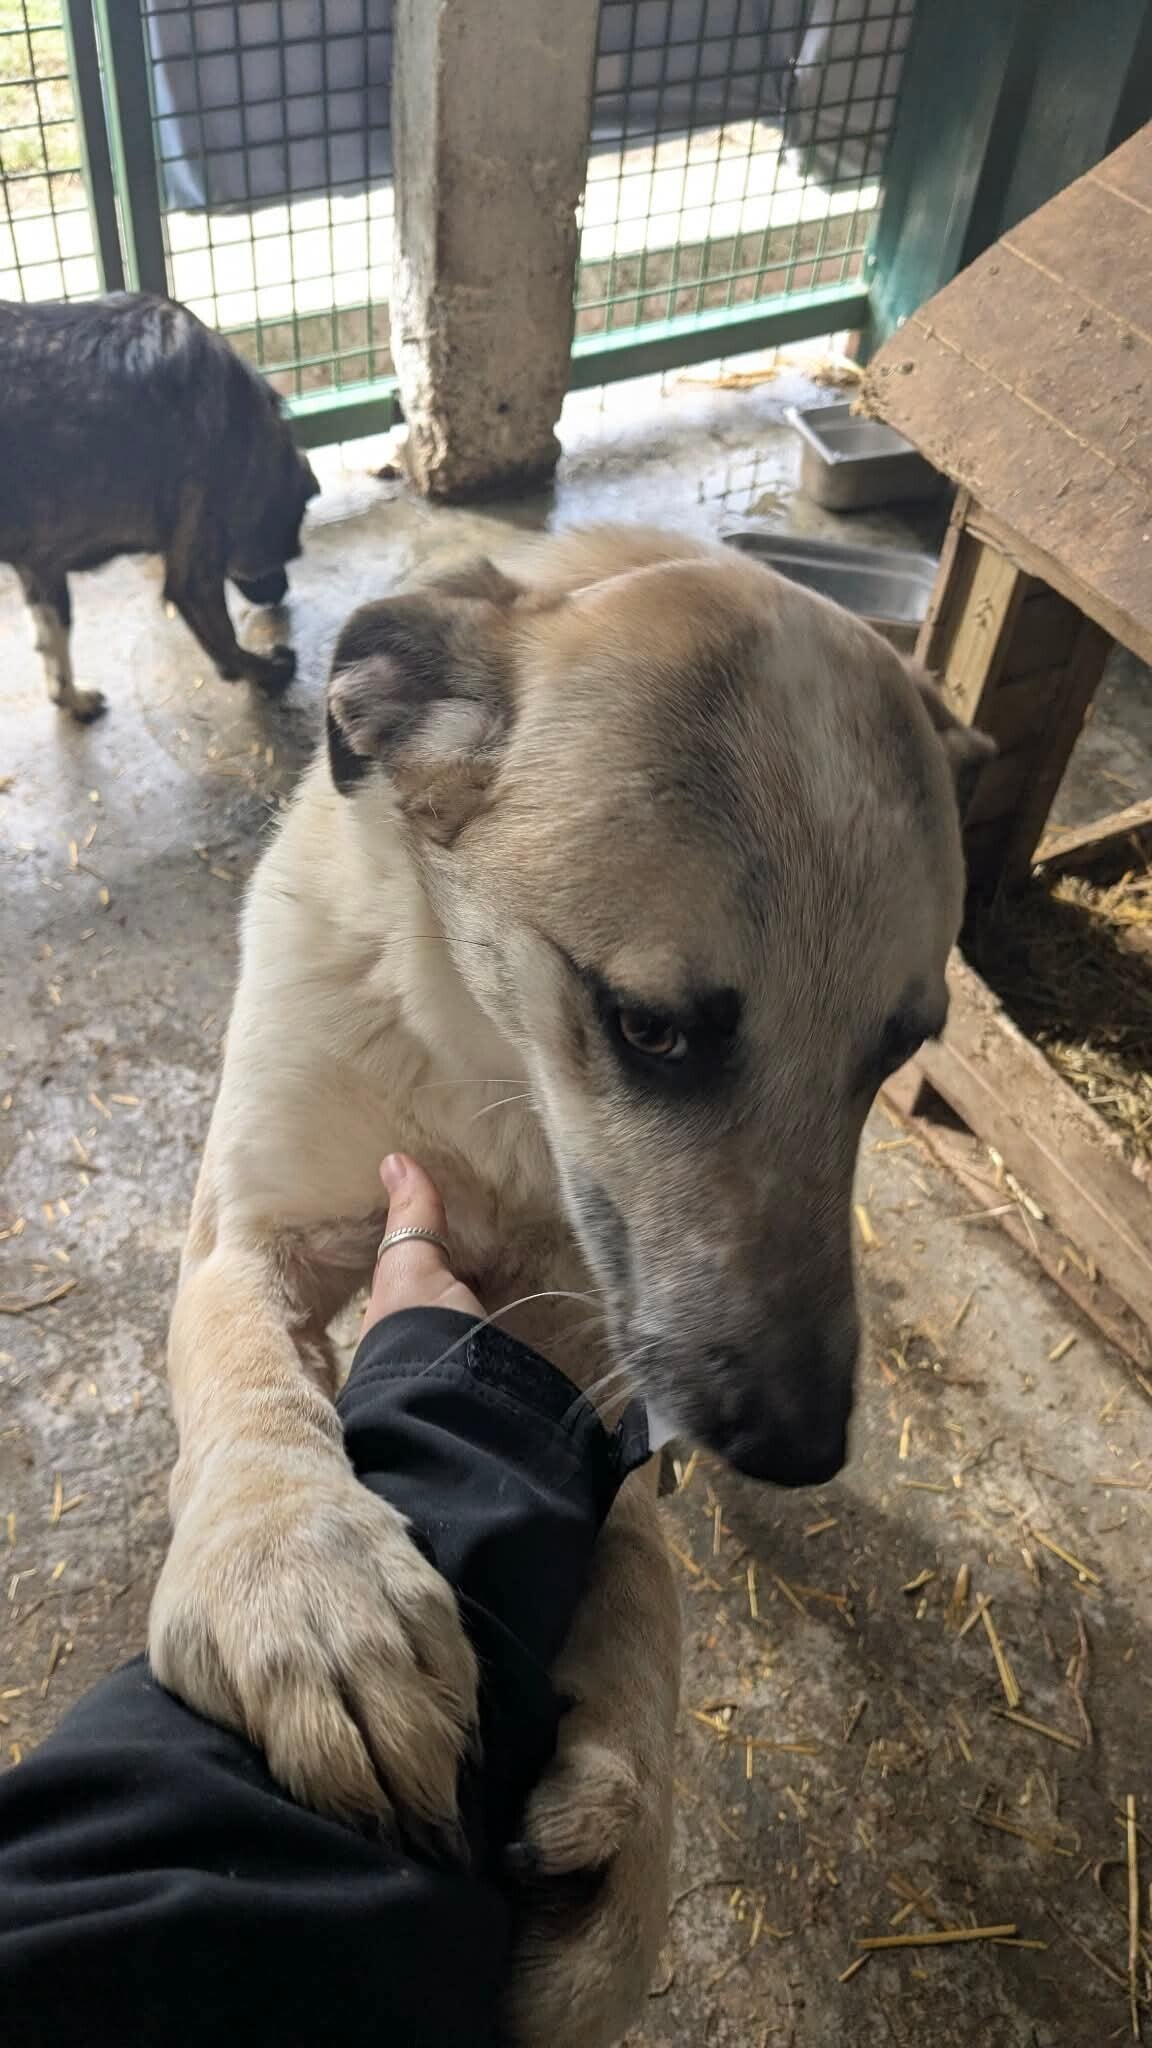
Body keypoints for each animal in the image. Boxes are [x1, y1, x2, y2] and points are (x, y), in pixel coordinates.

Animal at [0, 292, 319, 720]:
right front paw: (267, 670)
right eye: (286, 552)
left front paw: (70, 698)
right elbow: (226, 643)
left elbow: (54, 642)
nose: (281, 590)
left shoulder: (40, 565)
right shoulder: (195, 574)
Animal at [149, 525, 991, 2045]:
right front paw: (302, 1585)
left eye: (896, 1054)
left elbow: (644, 1582)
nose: (799, 1446)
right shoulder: (246, 1231)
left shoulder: (587, 1358)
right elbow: (247, 1385)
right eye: (651, 1030)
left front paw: (622, 1842)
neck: (486, 1074)